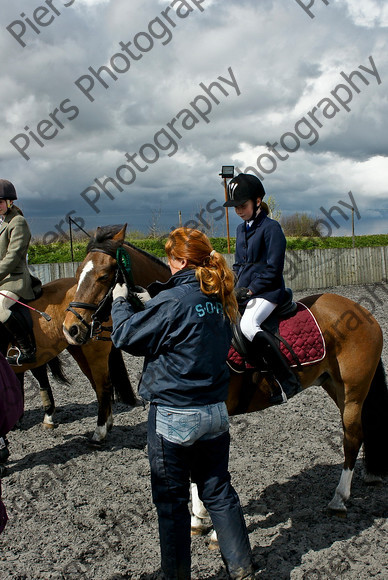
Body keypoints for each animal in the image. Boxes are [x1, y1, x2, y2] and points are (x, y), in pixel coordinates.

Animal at [62, 225, 386, 512]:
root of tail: (362, 311)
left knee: (352, 436)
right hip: (334, 385)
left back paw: (339, 498)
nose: (71, 329)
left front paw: (202, 516)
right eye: (77, 275)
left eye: (105, 275)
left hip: (353, 391)